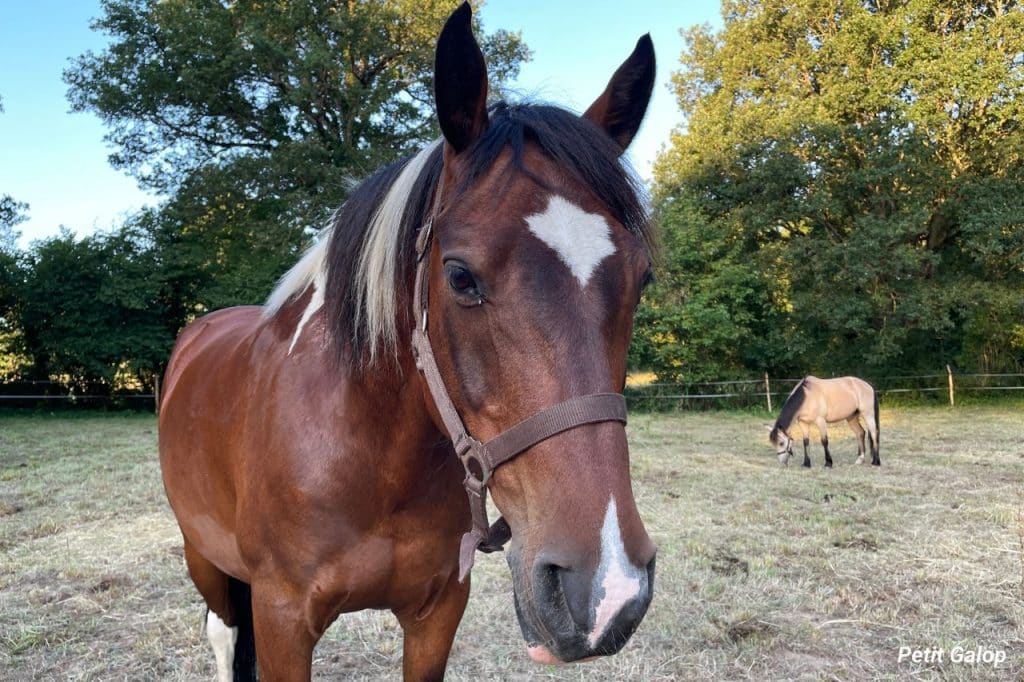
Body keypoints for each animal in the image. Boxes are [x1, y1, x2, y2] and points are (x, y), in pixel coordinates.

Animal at [158, 4, 658, 680]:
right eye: (460, 276)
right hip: (204, 558)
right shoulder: (282, 617)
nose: (607, 590)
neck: (374, 459)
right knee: (223, 633)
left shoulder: (438, 611)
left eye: (642, 278)